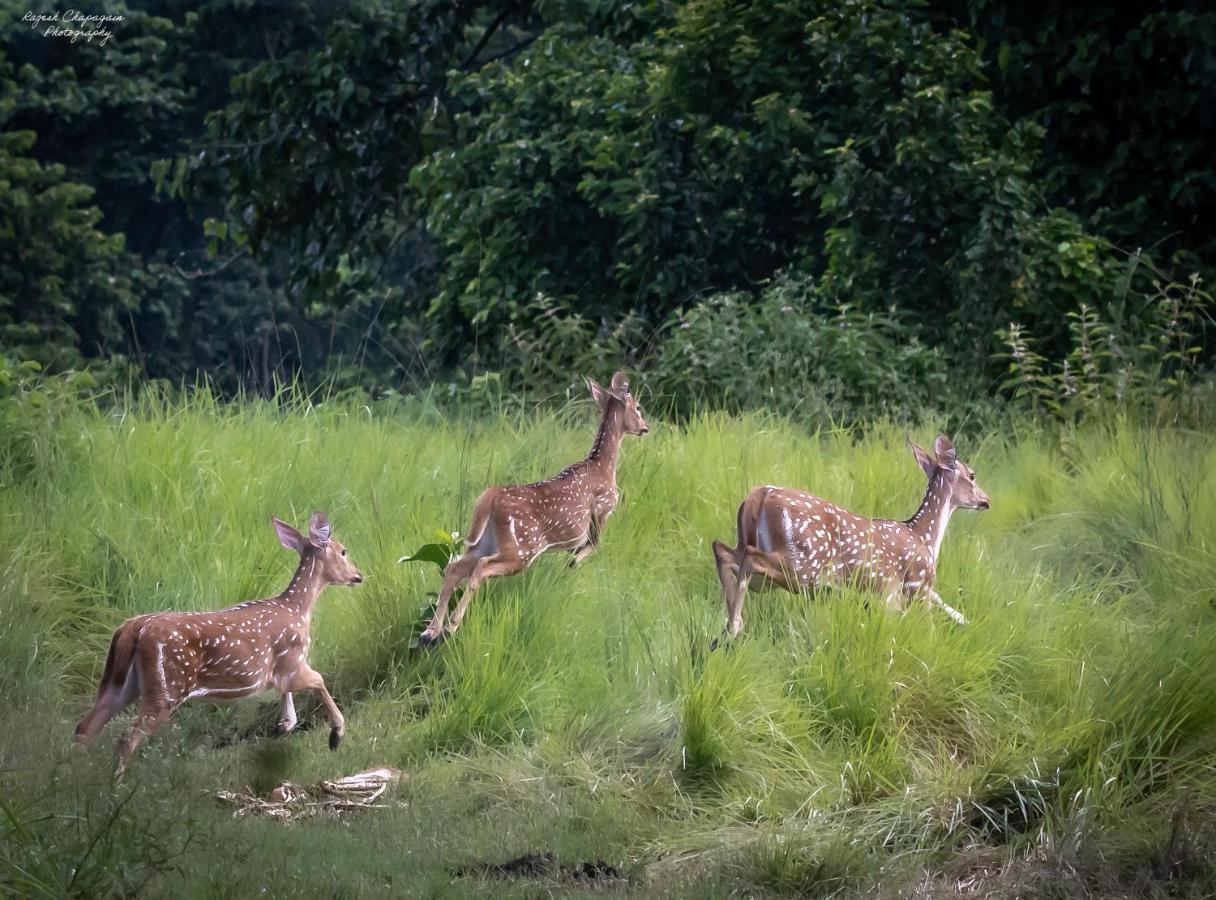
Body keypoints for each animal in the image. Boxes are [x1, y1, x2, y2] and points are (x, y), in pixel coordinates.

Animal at [73, 513, 359, 773]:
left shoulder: (284, 670)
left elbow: (290, 704)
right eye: (343, 551)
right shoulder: (293, 662)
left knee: (85, 727)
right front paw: (336, 736)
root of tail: (132, 629)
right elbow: (319, 679)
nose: (359, 575)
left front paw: (284, 725)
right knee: (125, 738)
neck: (298, 610)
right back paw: (115, 786)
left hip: (119, 683)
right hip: (168, 687)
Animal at [418, 369, 646, 642]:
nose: (645, 427)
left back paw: (430, 632)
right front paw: (574, 562)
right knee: (480, 569)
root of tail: (490, 497)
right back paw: (450, 626)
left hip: (484, 543)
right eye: (638, 407)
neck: (603, 466)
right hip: (522, 547)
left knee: (453, 567)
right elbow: (594, 544)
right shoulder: (603, 507)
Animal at [710, 435, 987, 642]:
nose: (986, 500)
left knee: (722, 549)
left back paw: (727, 627)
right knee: (748, 558)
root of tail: (758, 495)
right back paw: (734, 626)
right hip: (805, 564)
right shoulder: (916, 585)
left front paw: (964, 619)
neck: (924, 537)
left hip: (758, 555)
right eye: (972, 475)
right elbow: (928, 631)